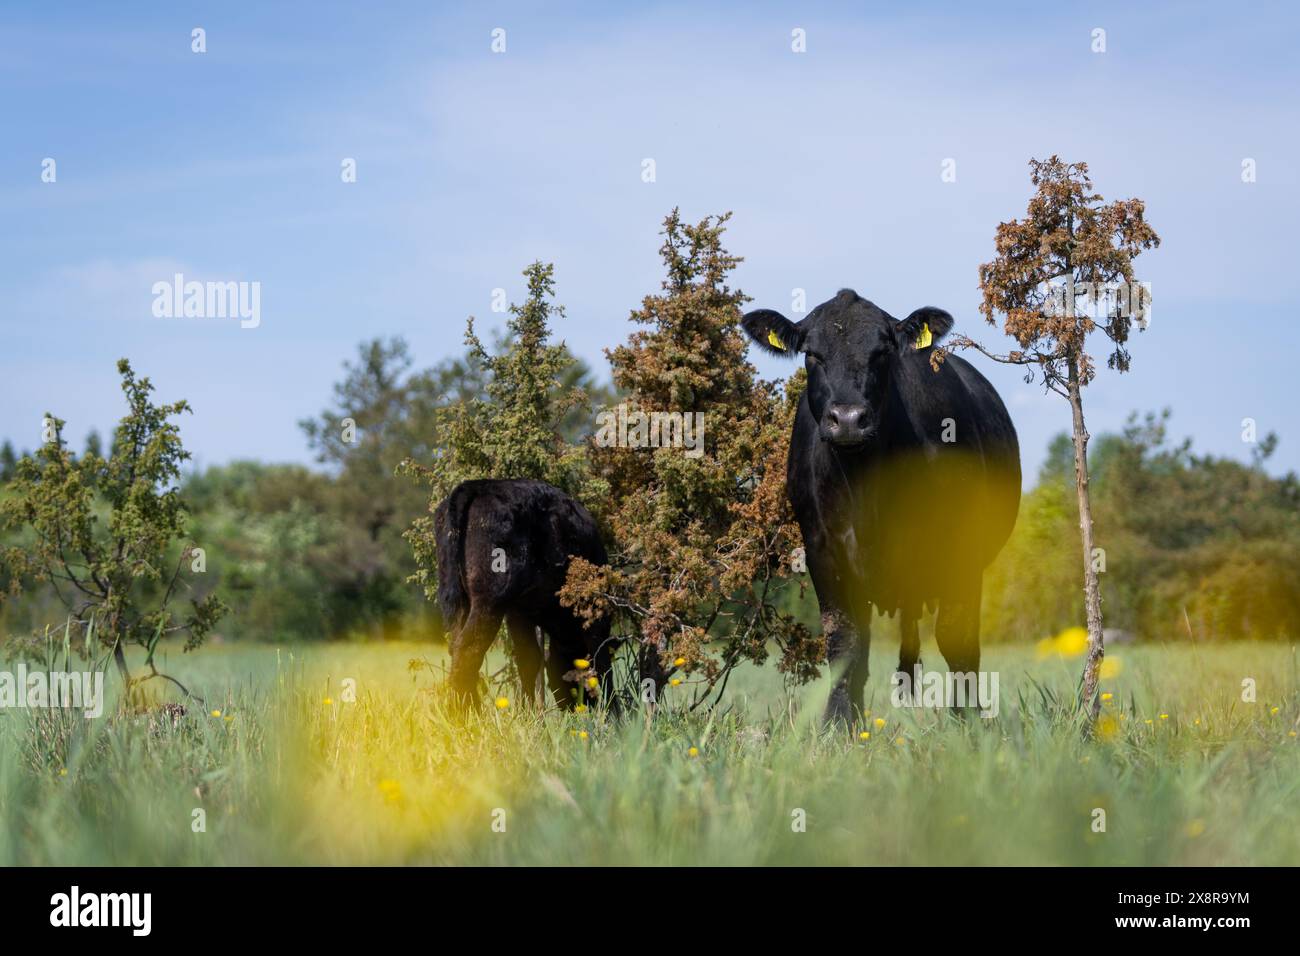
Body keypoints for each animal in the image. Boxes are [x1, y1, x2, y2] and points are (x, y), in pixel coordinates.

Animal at [434, 478, 615, 710]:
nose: (582, 706)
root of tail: (478, 485)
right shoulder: (594, 613)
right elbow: (603, 664)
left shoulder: (518, 612)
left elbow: (529, 658)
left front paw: (526, 712)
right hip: (488, 604)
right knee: (467, 649)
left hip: (461, 602)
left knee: (456, 646)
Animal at [741, 289, 1021, 724]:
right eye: (812, 354)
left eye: (882, 352)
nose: (848, 418)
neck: (867, 487)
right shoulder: (822, 550)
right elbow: (845, 641)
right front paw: (839, 724)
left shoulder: (960, 551)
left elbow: (956, 638)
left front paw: (968, 722)